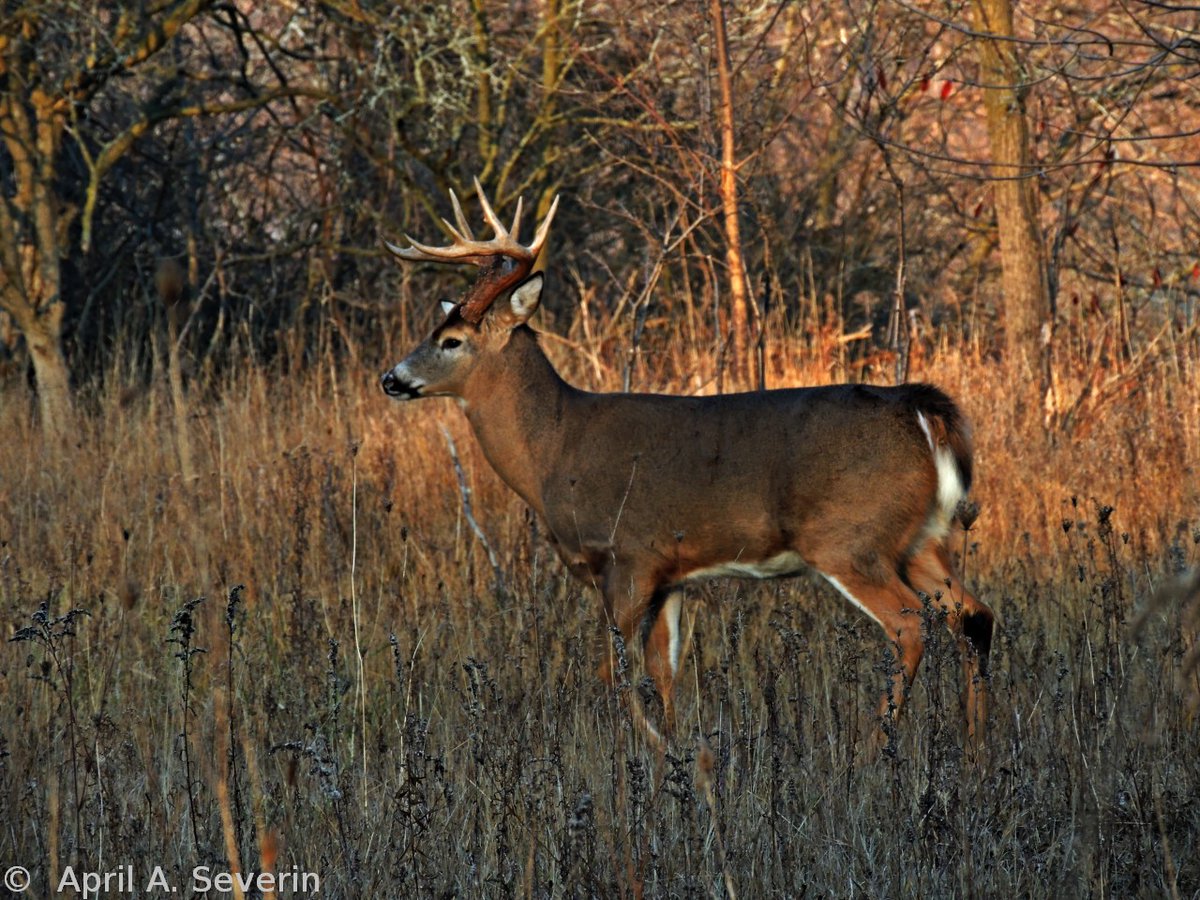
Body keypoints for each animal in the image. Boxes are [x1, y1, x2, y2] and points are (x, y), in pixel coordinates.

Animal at [381, 179, 994, 750]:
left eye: (451, 340)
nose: (391, 378)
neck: (555, 448)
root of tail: (920, 409)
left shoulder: (628, 557)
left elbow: (614, 674)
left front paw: (649, 753)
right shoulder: (670, 576)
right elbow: (665, 673)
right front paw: (677, 755)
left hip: (850, 539)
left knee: (912, 625)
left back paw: (872, 749)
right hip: (920, 540)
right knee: (974, 616)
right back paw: (976, 752)